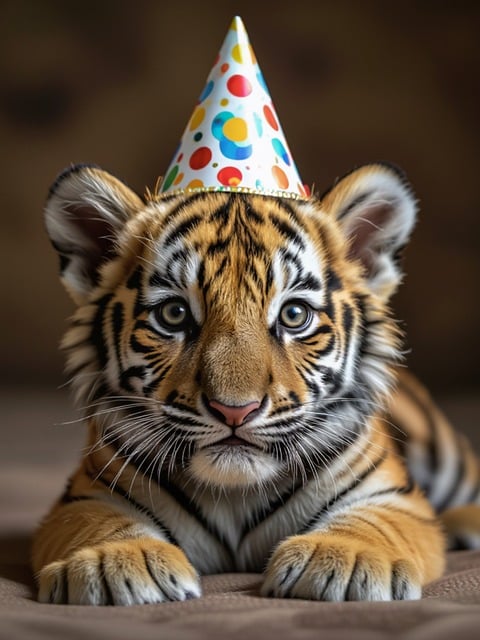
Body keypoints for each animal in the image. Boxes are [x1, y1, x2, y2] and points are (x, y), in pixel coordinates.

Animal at [32, 162, 480, 605]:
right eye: (174, 314)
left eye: (294, 315)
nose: (235, 411)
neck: (234, 494)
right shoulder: (86, 495)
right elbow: (101, 522)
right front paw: (115, 562)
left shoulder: (392, 496)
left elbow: (373, 523)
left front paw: (345, 559)